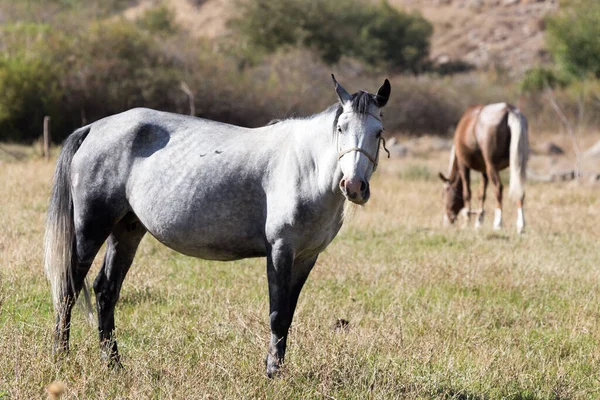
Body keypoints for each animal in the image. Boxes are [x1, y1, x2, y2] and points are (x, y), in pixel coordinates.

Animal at [44, 76, 392, 378]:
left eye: (378, 131)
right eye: (341, 128)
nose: (354, 186)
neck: (306, 166)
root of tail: (93, 128)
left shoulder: (306, 257)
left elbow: (289, 315)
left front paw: (278, 367)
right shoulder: (280, 250)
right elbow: (277, 313)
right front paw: (273, 372)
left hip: (126, 230)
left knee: (105, 291)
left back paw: (114, 364)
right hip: (90, 228)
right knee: (70, 288)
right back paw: (61, 356)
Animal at [436, 102, 528, 234]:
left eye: (445, 193)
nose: (448, 219)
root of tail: (508, 110)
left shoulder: (464, 166)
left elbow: (467, 193)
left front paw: (467, 221)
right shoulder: (484, 171)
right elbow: (481, 194)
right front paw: (478, 222)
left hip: (492, 167)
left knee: (498, 188)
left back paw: (497, 223)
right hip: (516, 165)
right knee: (520, 190)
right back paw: (520, 226)